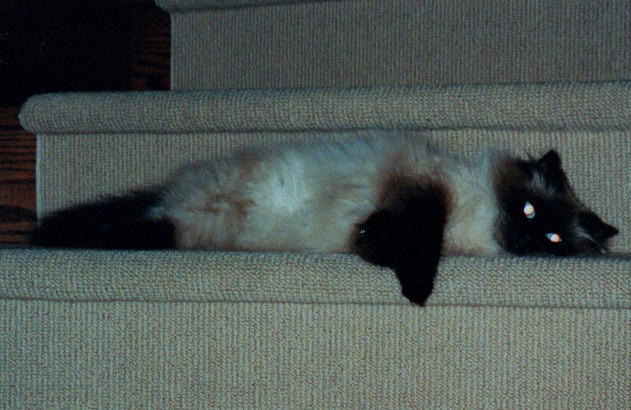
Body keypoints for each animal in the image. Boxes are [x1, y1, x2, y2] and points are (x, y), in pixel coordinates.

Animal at [33, 133, 616, 306]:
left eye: (554, 236)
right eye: (528, 209)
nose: (525, 237)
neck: (474, 224)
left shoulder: (396, 216)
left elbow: (381, 243)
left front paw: (381, 248)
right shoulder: (421, 193)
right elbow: (419, 244)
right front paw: (418, 292)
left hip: (183, 230)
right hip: (180, 221)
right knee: (131, 225)